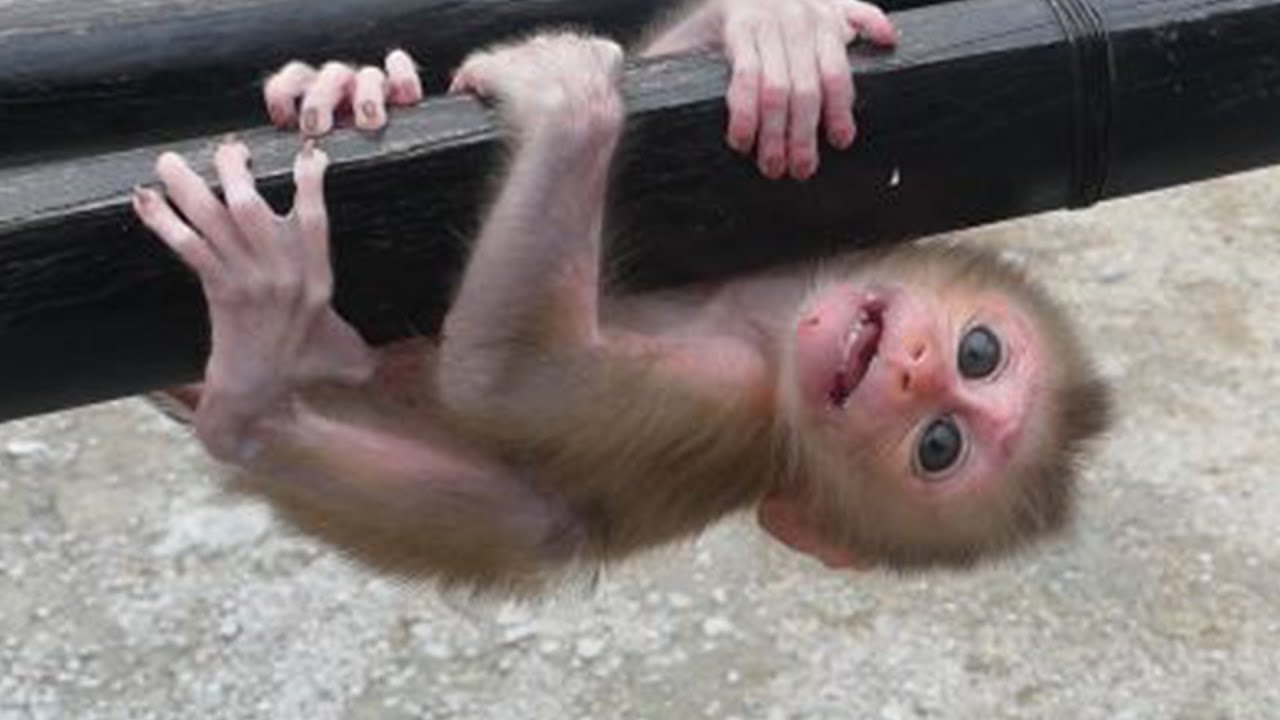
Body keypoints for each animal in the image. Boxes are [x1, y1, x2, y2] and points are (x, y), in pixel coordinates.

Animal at [132, 1, 1110, 594]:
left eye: (937, 446)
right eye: (978, 351)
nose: (910, 370)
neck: (774, 319)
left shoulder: (736, 402)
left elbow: (512, 380)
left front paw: (572, 109)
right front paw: (779, 33)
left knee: (533, 521)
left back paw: (260, 364)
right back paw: (347, 88)